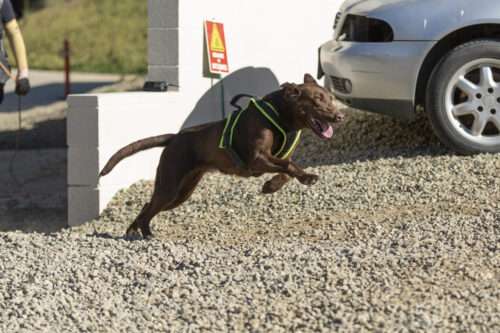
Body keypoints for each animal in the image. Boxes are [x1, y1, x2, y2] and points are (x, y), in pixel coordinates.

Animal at [100, 73, 346, 237]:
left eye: (330, 97)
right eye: (316, 100)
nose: (339, 117)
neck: (279, 115)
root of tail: (174, 138)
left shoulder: (272, 159)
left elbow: (286, 168)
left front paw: (271, 186)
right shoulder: (257, 158)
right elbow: (289, 165)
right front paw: (307, 177)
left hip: (182, 192)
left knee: (146, 206)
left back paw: (134, 231)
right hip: (170, 186)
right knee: (150, 206)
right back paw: (145, 233)